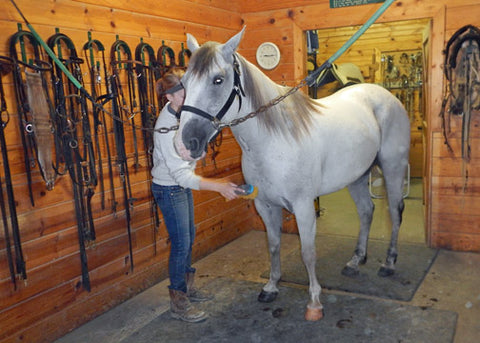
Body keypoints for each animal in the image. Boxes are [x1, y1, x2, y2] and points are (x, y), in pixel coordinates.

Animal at [174, 28, 410, 322]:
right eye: (184, 82)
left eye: (218, 79)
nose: (185, 144)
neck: (273, 141)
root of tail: (386, 97)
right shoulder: (264, 205)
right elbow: (273, 245)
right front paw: (271, 287)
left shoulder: (304, 206)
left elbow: (308, 253)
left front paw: (314, 303)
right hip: (356, 177)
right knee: (367, 212)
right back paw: (356, 261)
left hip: (393, 168)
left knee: (395, 212)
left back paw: (389, 263)